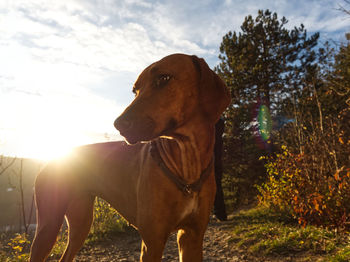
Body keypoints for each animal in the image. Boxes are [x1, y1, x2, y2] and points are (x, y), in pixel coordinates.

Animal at [30, 53, 231, 262]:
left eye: (163, 78)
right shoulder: (152, 242)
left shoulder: (192, 237)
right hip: (49, 225)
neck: (186, 164)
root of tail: (52, 159)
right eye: (135, 91)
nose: (118, 124)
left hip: (80, 220)